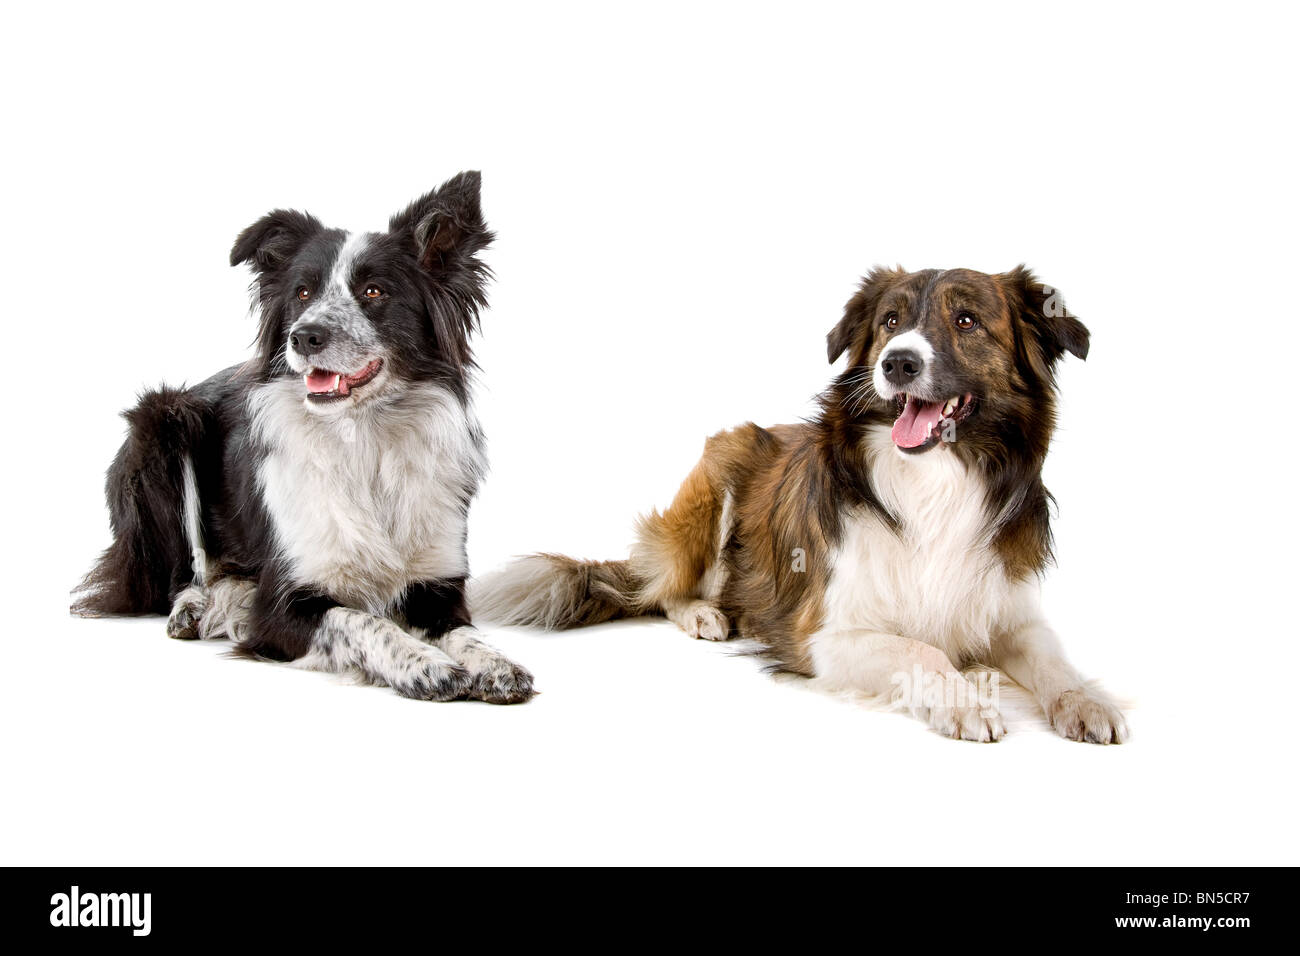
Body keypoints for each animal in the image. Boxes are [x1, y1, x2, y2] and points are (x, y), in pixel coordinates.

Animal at [73, 171, 533, 702]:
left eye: (373, 292)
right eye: (303, 294)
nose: (304, 336)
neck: (365, 441)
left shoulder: (438, 584)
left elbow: (464, 632)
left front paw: (496, 662)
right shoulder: (282, 607)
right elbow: (361, 620)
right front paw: (423, 663)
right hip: (165, 422)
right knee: (184, 571)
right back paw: (196, 606)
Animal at [478, 265, 1128, 743]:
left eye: (967, 321)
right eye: (890, 321)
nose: (897, 362)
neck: (933, 480)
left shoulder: (1008, 610)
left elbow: (1053, 659)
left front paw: (1086, 700)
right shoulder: (825, 636)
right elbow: (920, 649)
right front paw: (961, 699)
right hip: (723, 466)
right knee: (662, 588)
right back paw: (705, 614)